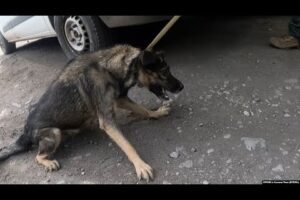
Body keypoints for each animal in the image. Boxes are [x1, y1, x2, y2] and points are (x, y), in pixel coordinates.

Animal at [0, 44, 184, 182]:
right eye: (164, 72)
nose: (181, 87)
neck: (110, 68)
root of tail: (25, 133)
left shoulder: (119, 99)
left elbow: (141, 108)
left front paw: (156, 113)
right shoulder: (107, 120)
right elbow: (127, 145)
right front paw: (140, 165)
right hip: (53, 132)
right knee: (38, 156)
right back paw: (48, 162)